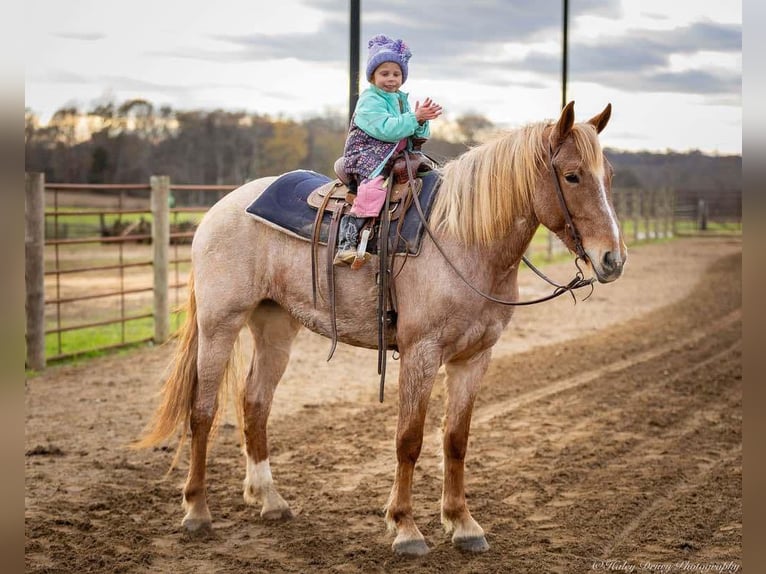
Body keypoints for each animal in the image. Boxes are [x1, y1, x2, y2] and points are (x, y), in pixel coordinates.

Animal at [136, 101, 632, 556]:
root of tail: (222, 207)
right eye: (572, 176)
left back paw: (270, 500)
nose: (613, 259)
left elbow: (456, 439)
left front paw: (463, 523)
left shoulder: (474, 357)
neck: (464, 238)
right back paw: (197, 511)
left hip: (275, 325)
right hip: (220, 323)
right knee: (202, 410)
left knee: (254, 402)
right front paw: (406, 528)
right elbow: (409, 439)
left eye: (608, 175)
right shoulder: (421, 353)